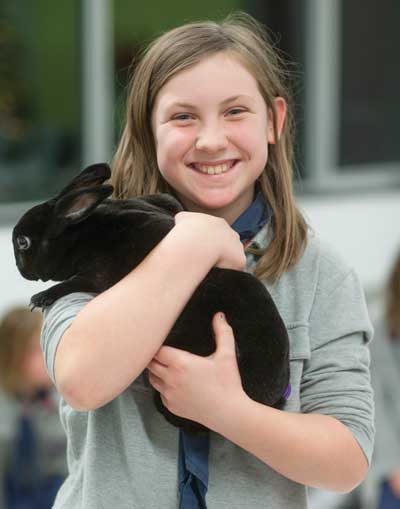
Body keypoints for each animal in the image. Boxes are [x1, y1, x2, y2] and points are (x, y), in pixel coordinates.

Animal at [11, 163, 288, 432]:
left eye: (23, 243)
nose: (21, 270)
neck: (79, 233)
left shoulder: (97, 274)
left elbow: (73, 282)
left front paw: (42, 297)